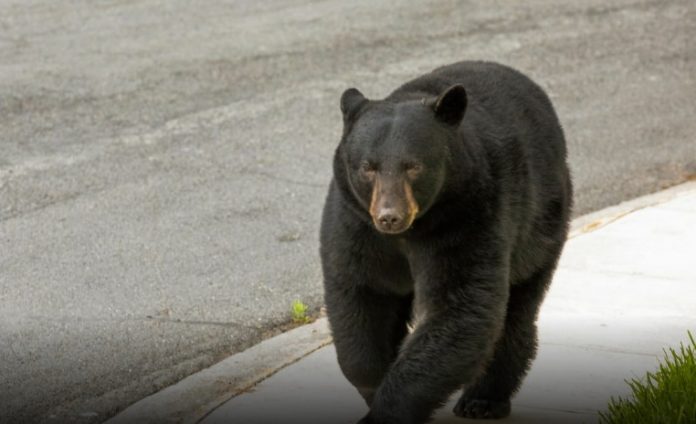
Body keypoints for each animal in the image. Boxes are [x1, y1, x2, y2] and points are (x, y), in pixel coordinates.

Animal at [319, 61, 572, 424]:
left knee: (517, 308)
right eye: (368, 167)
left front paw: (387, 409)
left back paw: (484, 399)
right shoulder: (355, 225)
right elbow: (361, 295)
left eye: (413, 166)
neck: (410, 233)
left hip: (542, 225)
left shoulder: (468, 217)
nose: (389, 216)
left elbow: (460, 309)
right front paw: (373, 386)